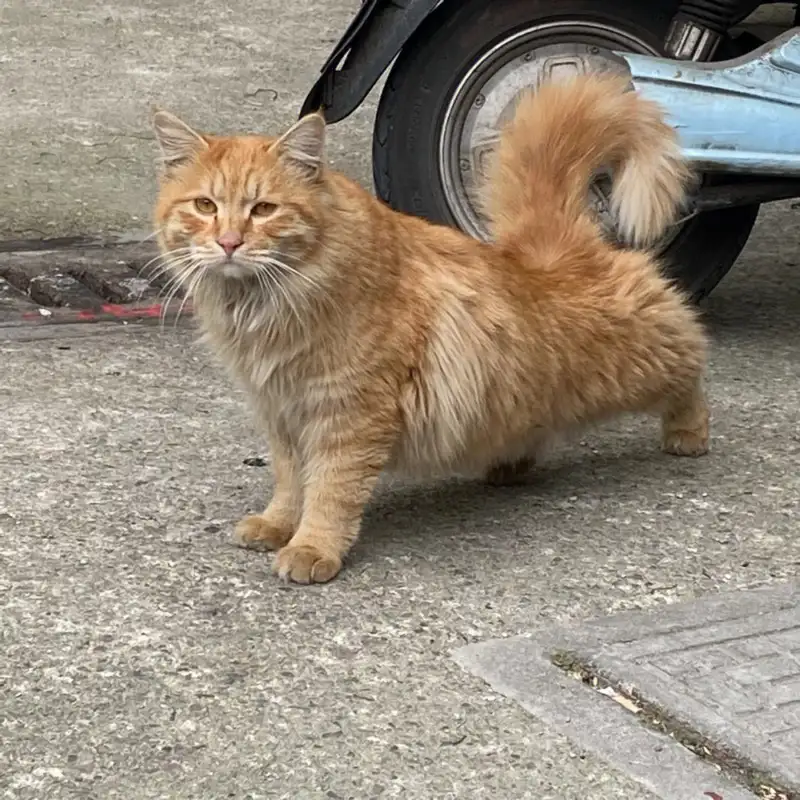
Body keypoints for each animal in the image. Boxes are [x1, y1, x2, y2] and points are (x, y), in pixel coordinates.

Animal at [153, 75, 708, 584]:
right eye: (205, 206)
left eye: (264, 209)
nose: (228, 242)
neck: (262, 309)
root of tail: (543, 250)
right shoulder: (280, 412)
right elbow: (291, 484)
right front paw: (277, 524)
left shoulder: (349, 417)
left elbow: (329, 492)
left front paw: (312, 548)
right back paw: (511, 465)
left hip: (643, 353)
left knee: (691, 358)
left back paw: (689, 432)